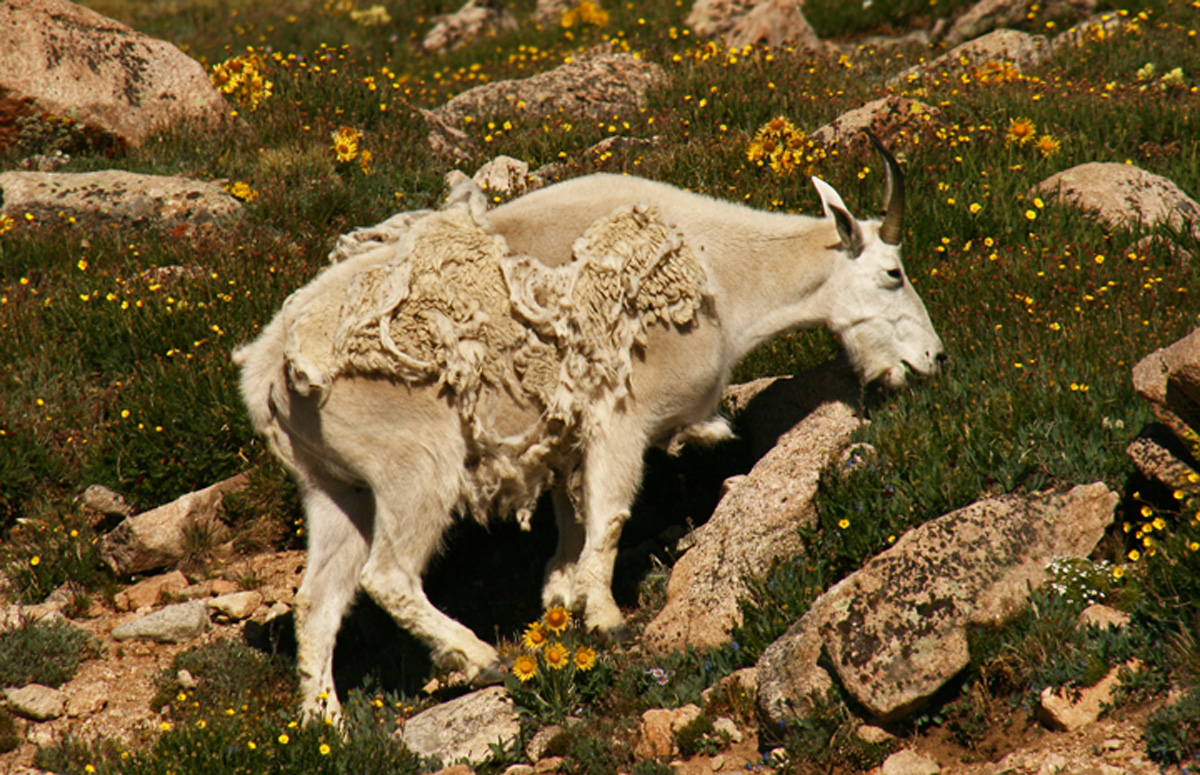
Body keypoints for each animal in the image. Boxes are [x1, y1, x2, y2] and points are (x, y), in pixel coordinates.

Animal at [233, 135, 944, 717]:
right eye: (894, 273)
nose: (932, 361)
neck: (721, 272)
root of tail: (268, 371)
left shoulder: (565, 442)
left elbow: (571, 527)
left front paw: (562, 600)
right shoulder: (621, 420)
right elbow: (609, 517)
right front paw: (605, 618)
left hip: (332, 488)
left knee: (317, 602)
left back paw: (326, 723)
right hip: (414, 467)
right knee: (387, 575)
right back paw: (477, 658)